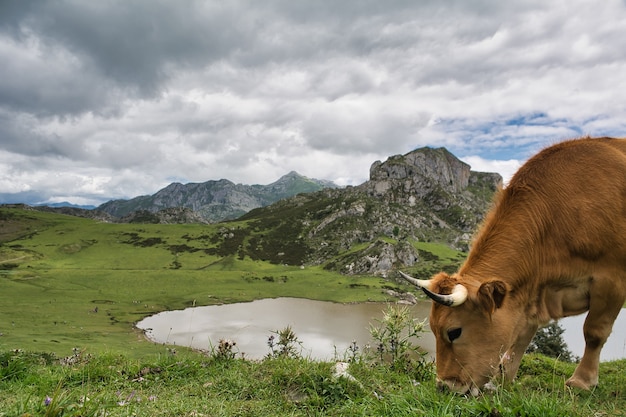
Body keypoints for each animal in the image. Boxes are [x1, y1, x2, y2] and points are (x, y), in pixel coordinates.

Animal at [400, 136, 624, 394]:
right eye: (432, 329)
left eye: (454, 332)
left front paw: (582, 381)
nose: (444, 386)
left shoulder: (611, 279)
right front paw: (503, 379)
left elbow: (594, 332)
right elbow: (521, 336)